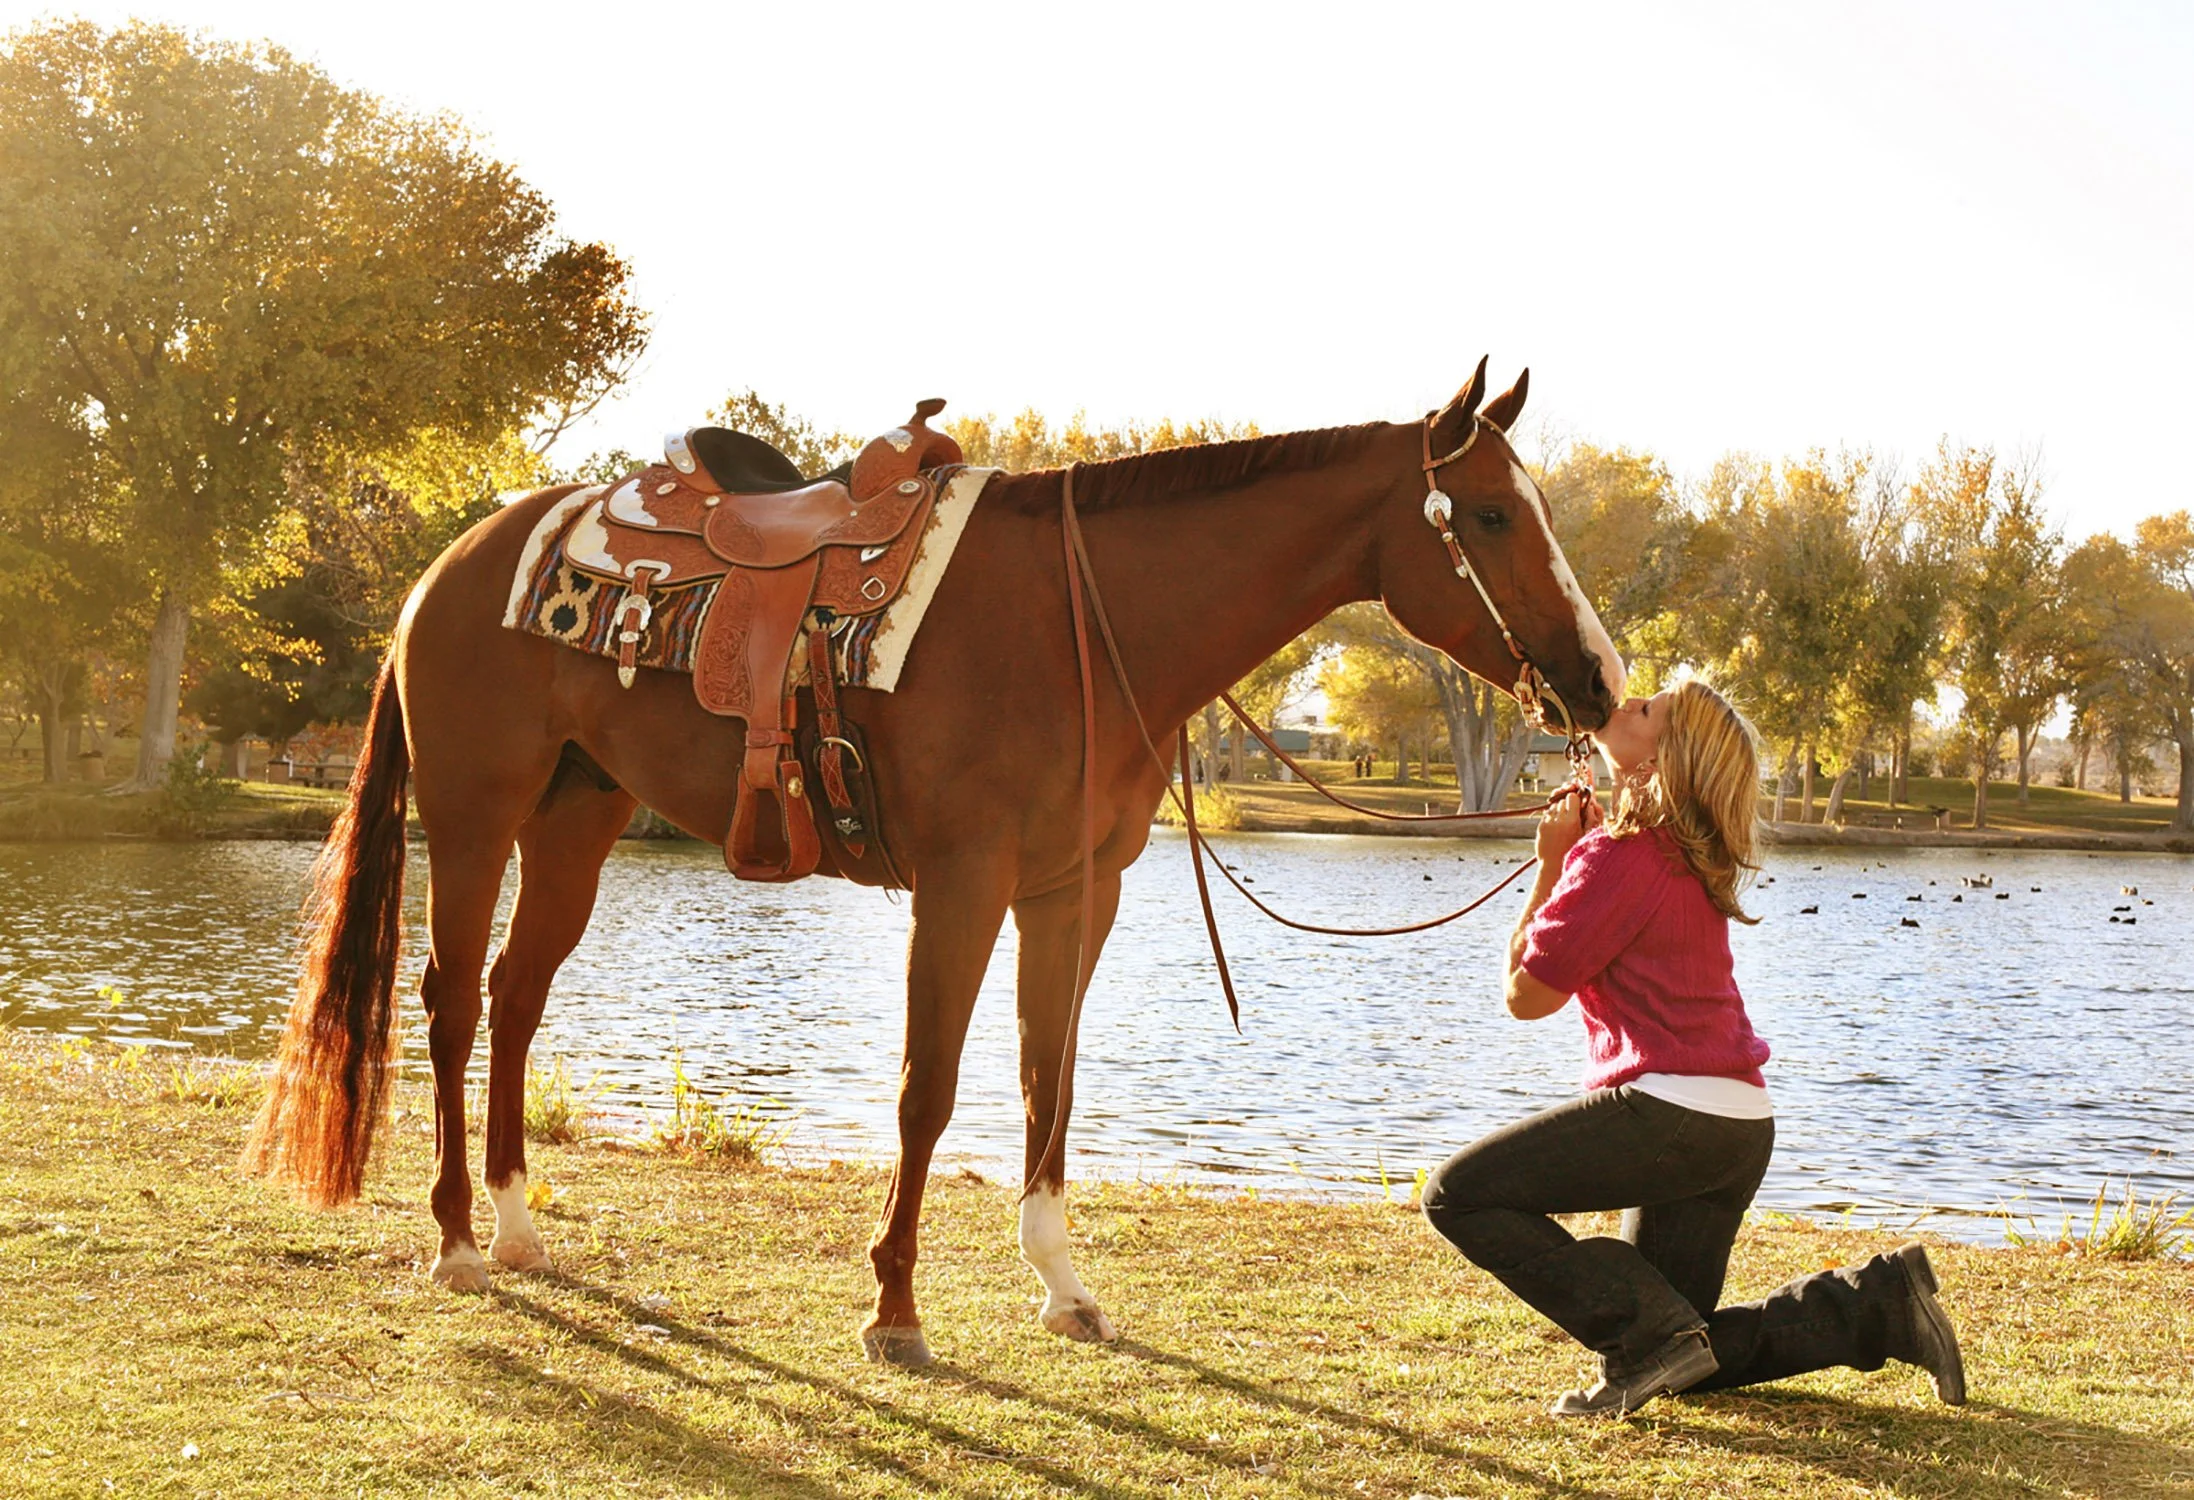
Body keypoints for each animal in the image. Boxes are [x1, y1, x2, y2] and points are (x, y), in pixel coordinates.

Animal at [246, 358, 1626, 1366]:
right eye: (1488, 514)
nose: (1599, 681)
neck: (1087, 624)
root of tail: (452, 563)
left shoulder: (1077, 891)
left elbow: (1044, 1081)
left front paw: (1062, 1285)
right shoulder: (962, 885)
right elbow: (927, 1089)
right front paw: (894, 1308)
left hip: (575, 820)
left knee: (516, 1000)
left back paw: (520, 1229)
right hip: (476, 814)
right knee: (449, 1004)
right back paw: (454, 1242)